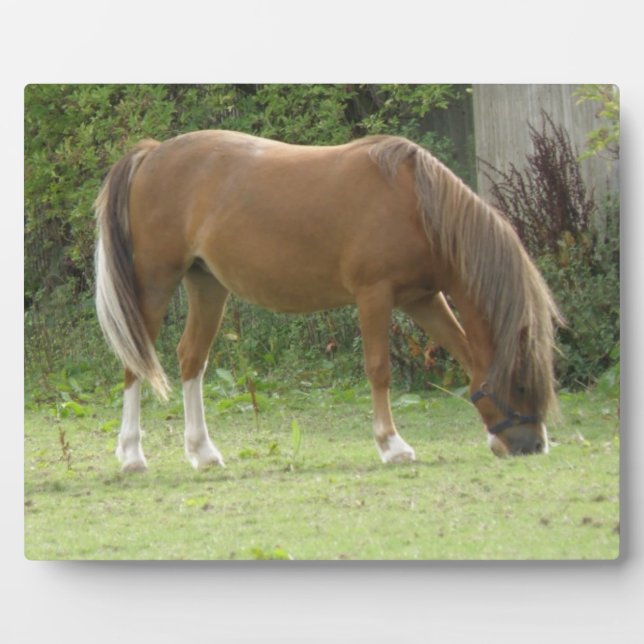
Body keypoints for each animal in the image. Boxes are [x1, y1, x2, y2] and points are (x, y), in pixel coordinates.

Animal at [95, 130, 561, 472]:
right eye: (522, 384)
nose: (532, 446)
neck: (417, 206)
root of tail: (152, 154)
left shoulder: (424, 300)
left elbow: (465, 352)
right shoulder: (375, 295)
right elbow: (379, 370)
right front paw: (392, 445)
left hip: (207, 285)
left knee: (192, 358)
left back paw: (203, 453)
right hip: (155, 283)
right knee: (136, 362)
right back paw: (132, 455)